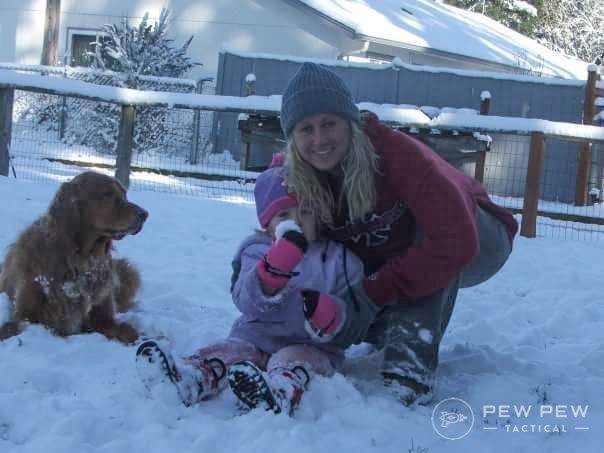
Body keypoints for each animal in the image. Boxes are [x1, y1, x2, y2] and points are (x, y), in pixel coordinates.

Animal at [0, 171, 149, 340]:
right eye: (107, 194)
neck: (81, 260)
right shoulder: (27, 315)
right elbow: (9, 328)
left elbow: (130, 332)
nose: (145, 214)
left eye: (125, 194)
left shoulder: (103, 317)